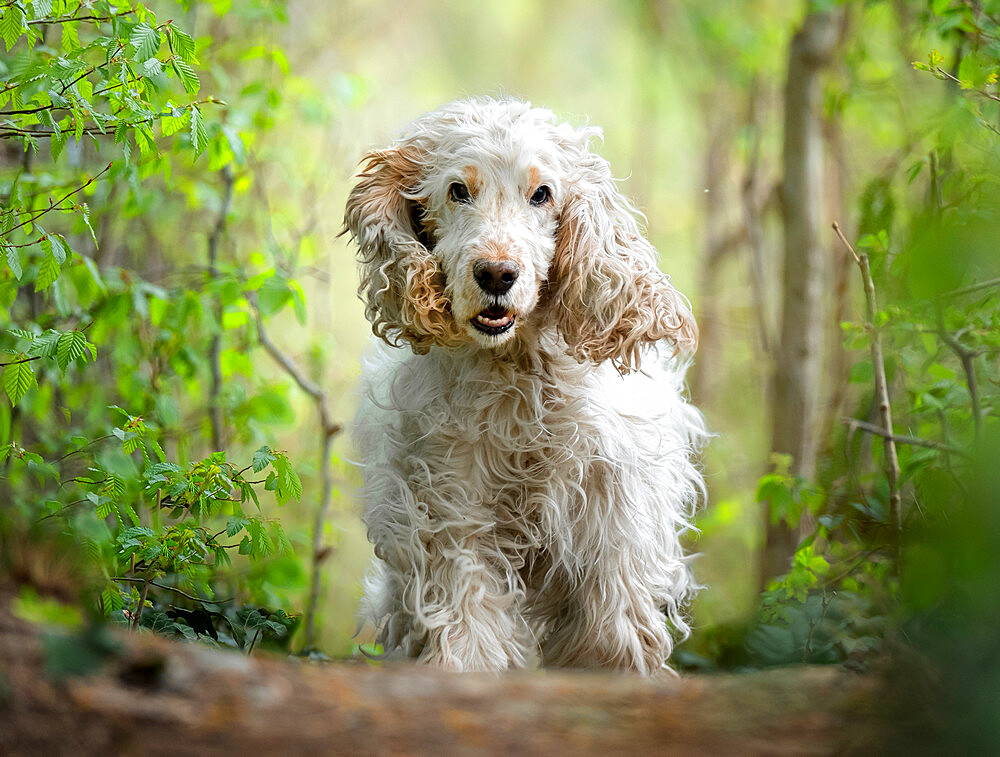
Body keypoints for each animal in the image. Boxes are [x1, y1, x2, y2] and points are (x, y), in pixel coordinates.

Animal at [348, 96, 708, 672]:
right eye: (458, 190)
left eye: (542, 194)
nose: (497, 274)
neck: (517, 370)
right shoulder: (451, 507)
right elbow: (467, 616)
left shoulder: (613, 512)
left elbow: (613, 627)